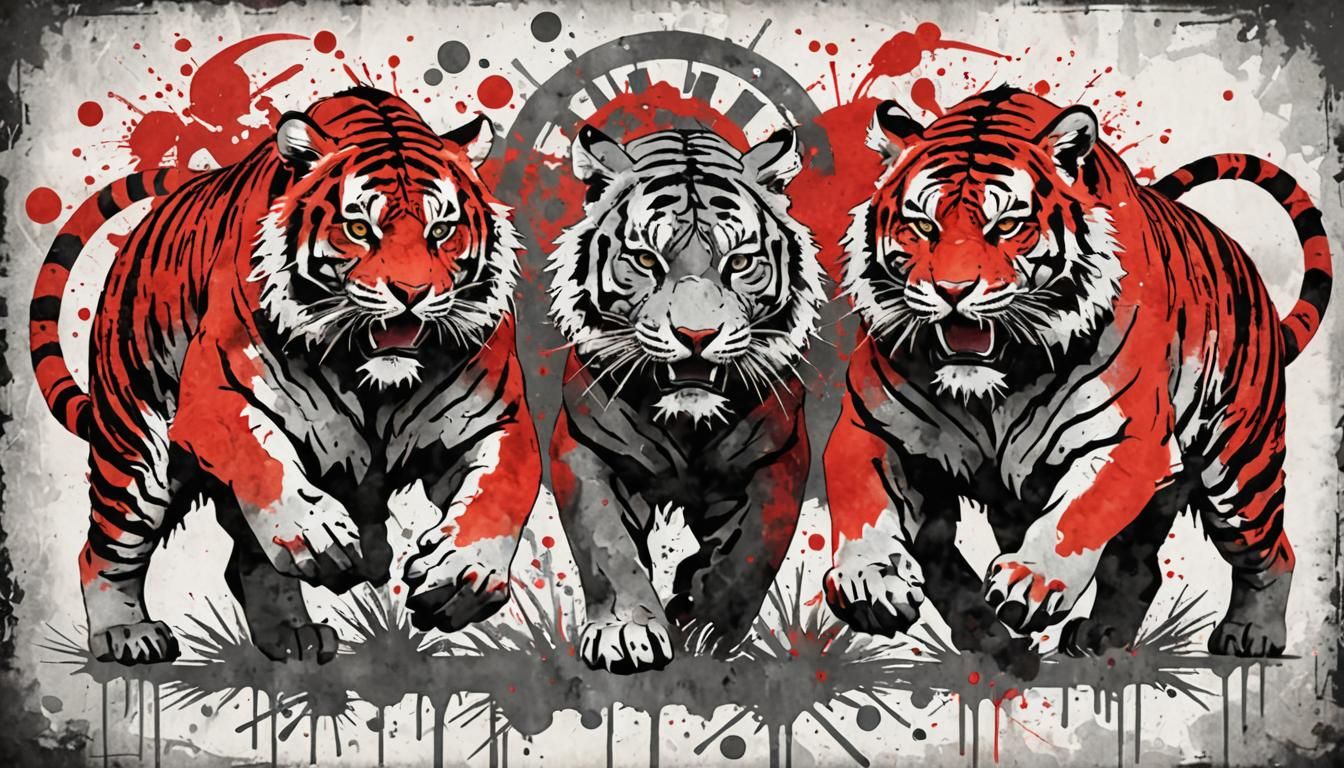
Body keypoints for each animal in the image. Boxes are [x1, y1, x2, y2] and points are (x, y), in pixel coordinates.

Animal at [30, 87, 541, 665]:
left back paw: (293, 636)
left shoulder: (497, 421)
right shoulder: (214, 398)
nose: (411, 294)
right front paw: (320, 536)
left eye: (442, 231)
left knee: (245, 561)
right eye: (359, 229)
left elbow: (499, 495)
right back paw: (127, 634)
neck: (372, 381)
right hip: (138, 450)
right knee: (103, 551)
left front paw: (460, 577)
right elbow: (265, 465)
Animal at [547, 126, 826, 673]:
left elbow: (747, 558)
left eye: (739, 262)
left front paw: (706, 636)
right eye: (645, 260)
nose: (696, 336)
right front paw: (626, 631)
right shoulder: (586, 448)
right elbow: (608, 545)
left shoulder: (777, 458)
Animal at [823, 86, 1331, 670]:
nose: (952, 291)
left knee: (1272, 552)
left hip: (1239, 469)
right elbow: (862, 505)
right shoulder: (868, 429)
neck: (994, 384)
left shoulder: (1128, 441)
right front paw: (870, 579)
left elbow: (1076, 516)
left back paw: (1250, 632)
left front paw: (1031, 583)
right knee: (1139, 568)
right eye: (924, 226)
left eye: (1006, 226)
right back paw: (1096, 637)